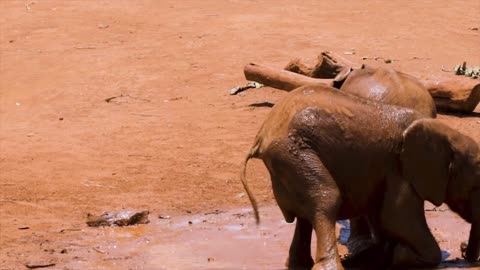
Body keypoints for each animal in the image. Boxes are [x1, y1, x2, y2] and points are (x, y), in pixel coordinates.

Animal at [240, 84, 480, 270]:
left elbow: (383, 219)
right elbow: (397, 218)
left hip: (287, 160)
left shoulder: (384, 170)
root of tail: (262, 134)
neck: (447, 132)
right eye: (474, 185)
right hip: (293, 153)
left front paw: (380, 256)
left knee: (304, 216)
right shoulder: (399, 169)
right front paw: (400, 256)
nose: (463, 250)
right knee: (327, 199)